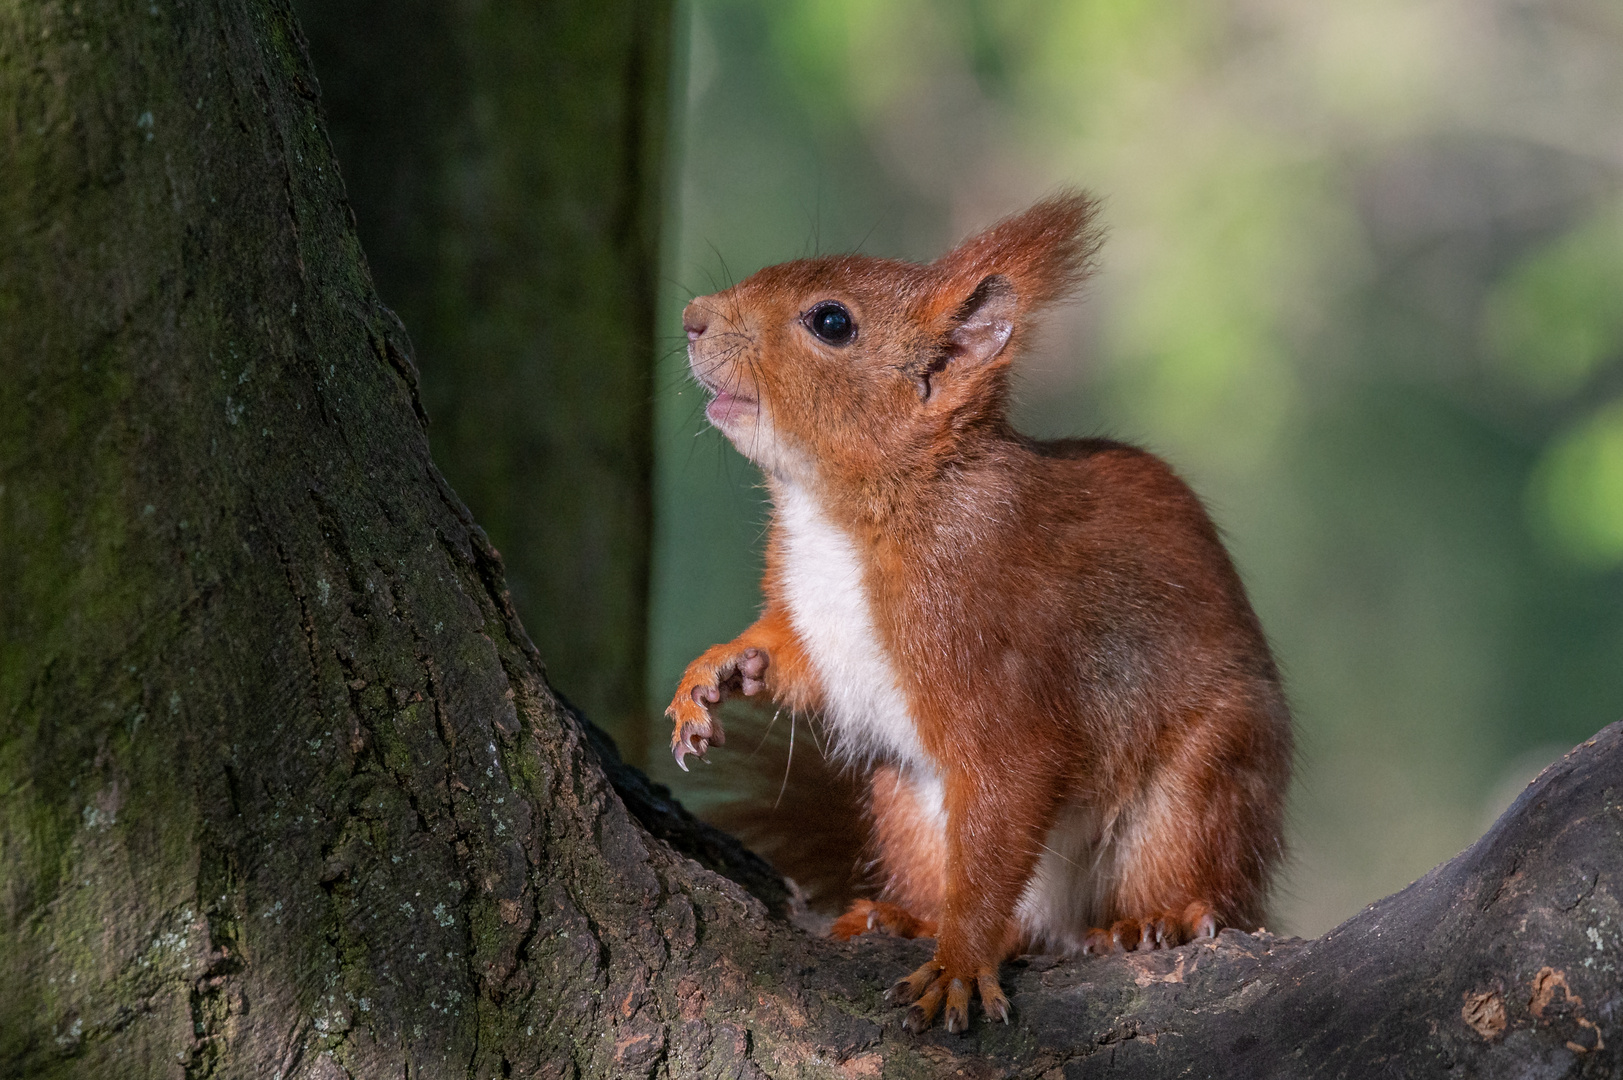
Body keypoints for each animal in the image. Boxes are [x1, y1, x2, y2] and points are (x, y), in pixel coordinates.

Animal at [662, 195, 1291, 1039]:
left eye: (830, 322)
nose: (692, 318)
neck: (840, 512)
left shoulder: (985, 633)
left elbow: (1012, 769)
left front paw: (959, 964)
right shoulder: (819, 625)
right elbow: (792, 659)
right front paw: (716, 672)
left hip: (1198, 791)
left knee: (1187, 877)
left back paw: (1157, 920)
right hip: (906, 807)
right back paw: (911, 917)